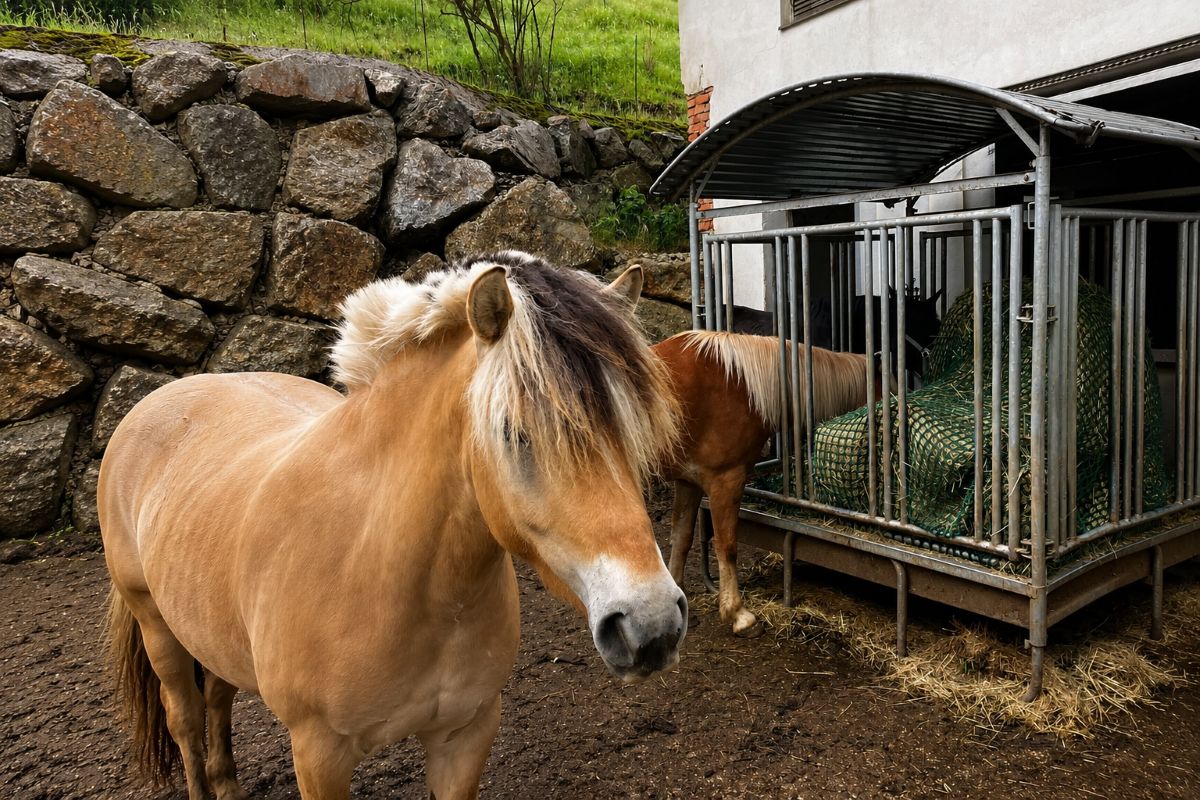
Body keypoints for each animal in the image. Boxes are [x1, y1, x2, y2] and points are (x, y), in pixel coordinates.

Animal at [99, 251, 687, 800]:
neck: (381, 565)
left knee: (218, 701)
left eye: (633, 427)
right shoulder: (319, 755)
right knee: (186, 720)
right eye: (513, 432)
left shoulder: (464, 737)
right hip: (156, 626)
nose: (651, 622)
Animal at [654, 331, 880, 637]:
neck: (740, 383)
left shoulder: (688, 481)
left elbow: (681, 538)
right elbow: (727, 546)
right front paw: (738, 615)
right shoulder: (726, 479)